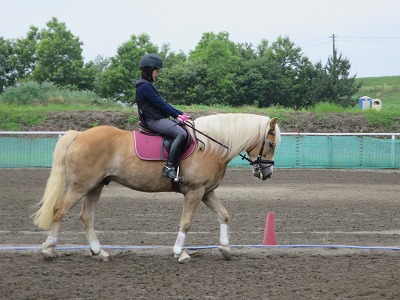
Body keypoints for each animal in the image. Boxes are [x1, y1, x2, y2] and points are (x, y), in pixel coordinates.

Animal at [32, 112, 280, 262]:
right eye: (269, 143)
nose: (267, 173)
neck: (210, 146)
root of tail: (79, 135)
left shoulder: (206, 192)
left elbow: (224, 215)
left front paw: (226, 248)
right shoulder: (195, 192)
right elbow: (186, 222)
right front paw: (180, 253)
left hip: (94, 186)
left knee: (86, 217)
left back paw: (99, 251)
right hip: (80, 186)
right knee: (59, 211)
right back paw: (48, 249)